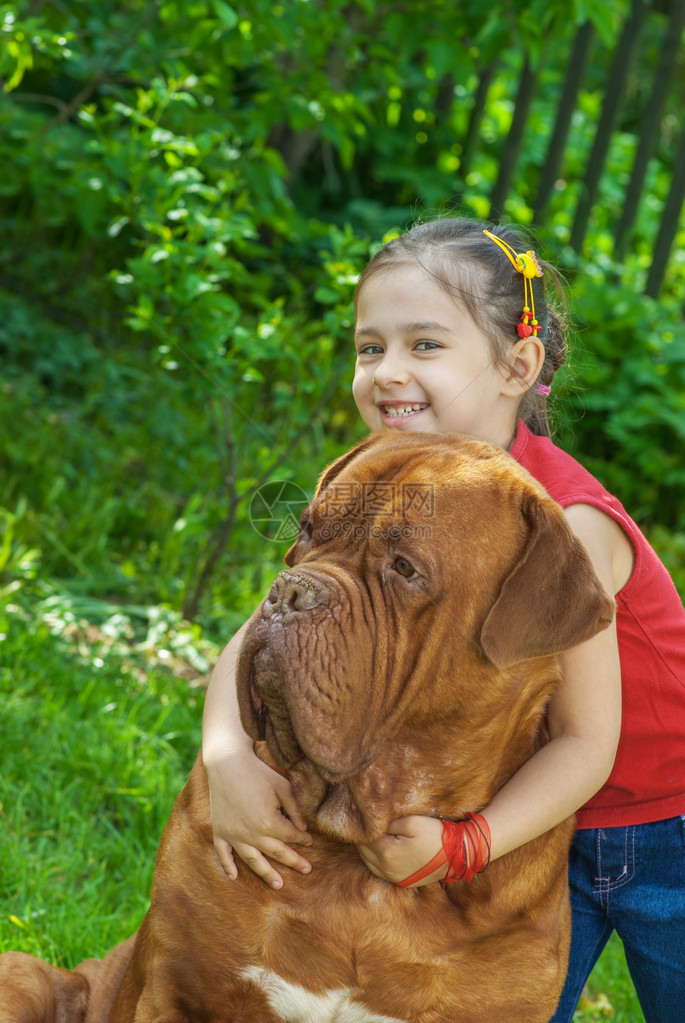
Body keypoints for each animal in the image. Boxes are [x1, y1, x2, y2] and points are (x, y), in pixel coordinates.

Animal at [0, 433, 617, 1023]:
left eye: (405, 568)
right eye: (308, 529)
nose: (289, 590)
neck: (353, 869)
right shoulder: (177, 993)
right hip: (26, 975)